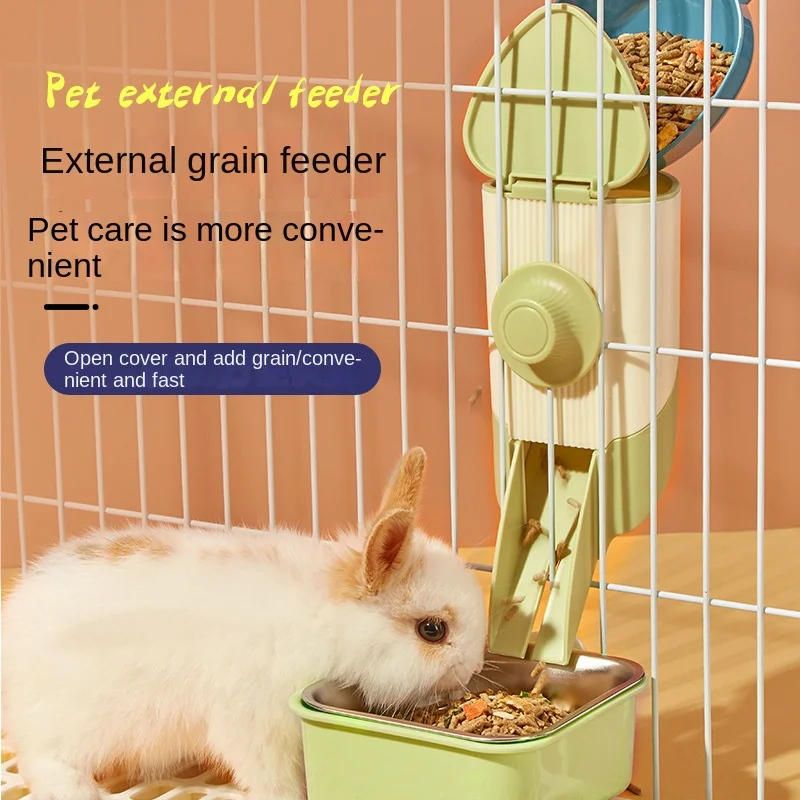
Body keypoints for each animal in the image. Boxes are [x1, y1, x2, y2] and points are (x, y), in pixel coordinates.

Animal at [1, 447, 488, 800]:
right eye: (432, 630)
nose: (473, 669)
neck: (327, 624)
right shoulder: (253, 724)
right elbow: (273, 779)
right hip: (76, 722)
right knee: (39, 757)